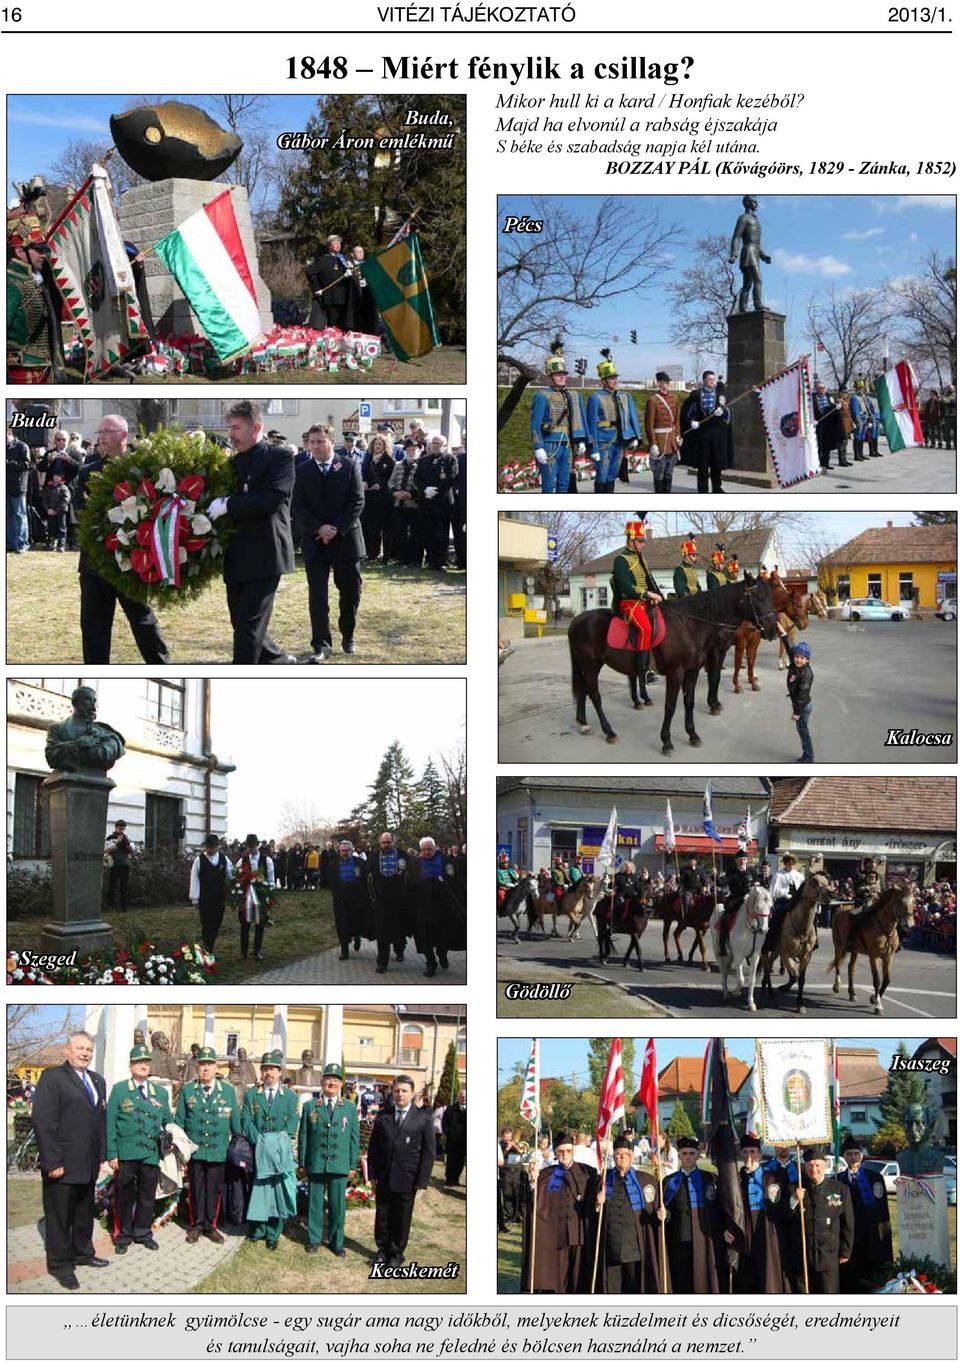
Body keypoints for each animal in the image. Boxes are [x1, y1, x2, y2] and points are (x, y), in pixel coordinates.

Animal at [758, 872, 834, 1014]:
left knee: (769, 965)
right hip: (766, 949)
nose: (831, 894)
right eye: (814, 881)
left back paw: (767, 988)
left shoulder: (806, 956)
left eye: (827, 881)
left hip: (776, 951)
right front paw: (783, 988)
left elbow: (801, 980)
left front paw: (800, 1004)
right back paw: (768, 990)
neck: (802, 928)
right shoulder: (786, 955)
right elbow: (794, 976)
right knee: (766, 967)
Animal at [823, 883, 916, 1014]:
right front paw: (878, 1005)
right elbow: (877, 980)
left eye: (914, 901)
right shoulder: (874, 956)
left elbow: (886, 980)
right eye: (899, 901)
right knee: (837, 963)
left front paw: (874, 998)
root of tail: (840, 910)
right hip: (839, 945)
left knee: (851, 968)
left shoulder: (888, 957)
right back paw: (837, 986)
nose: (908, 927)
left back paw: (852, 993)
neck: (884, 928)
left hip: (854, 950)